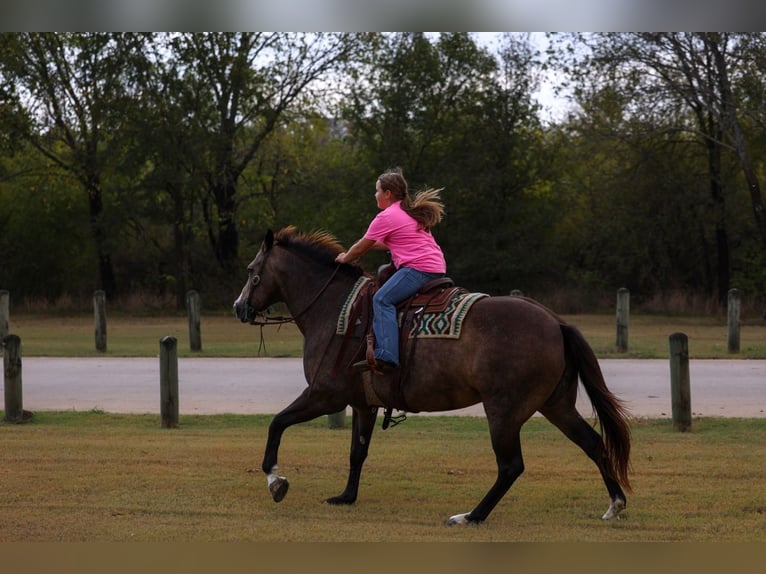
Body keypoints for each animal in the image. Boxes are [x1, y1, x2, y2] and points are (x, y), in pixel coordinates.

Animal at [233, 226, 632, 525]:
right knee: (593, 444)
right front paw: (346, 496)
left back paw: (471, 516)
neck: (336, 311)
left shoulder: (324, 394)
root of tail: (554, 322)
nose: (238, 307)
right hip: (556, 405)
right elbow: (357, 452)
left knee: (510, 466)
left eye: (252, 271)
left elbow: (277, 423)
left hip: (504, 412)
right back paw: (615, 505)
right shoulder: (363, 404)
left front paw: (275, 480)